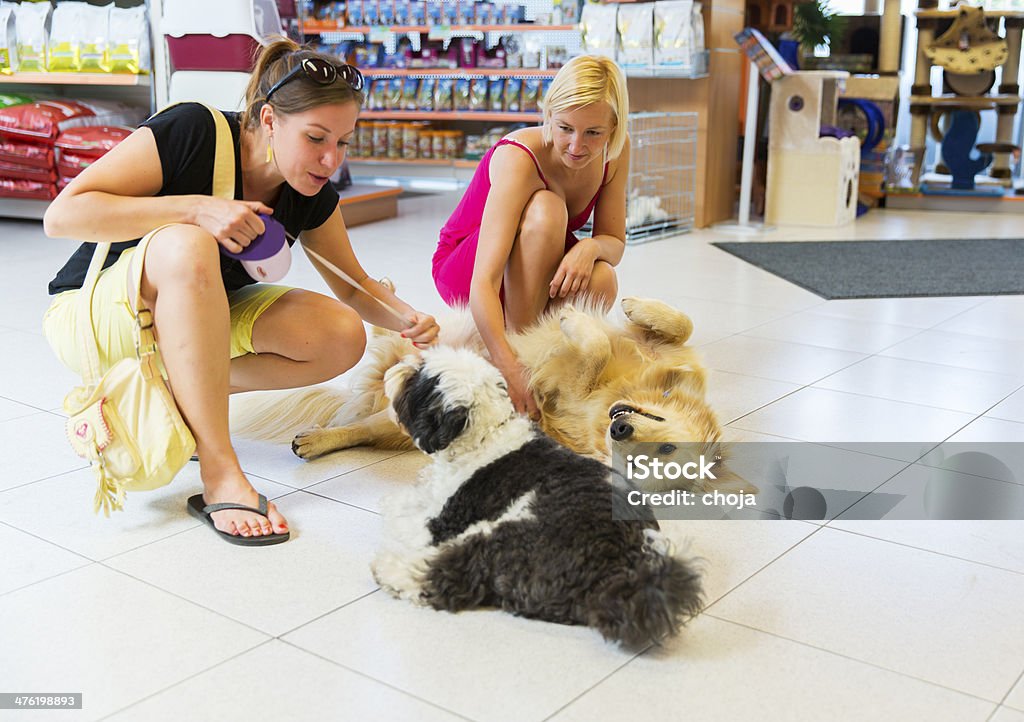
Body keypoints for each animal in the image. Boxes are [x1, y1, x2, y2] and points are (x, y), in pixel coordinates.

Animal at [374, 344, 704, 647]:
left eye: (418, 377)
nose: (395, 369)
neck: (485, 435)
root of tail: (620, 572)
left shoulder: (442, 523)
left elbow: (400, 512)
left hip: (511, 535)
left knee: (455, 574)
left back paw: (390, 570)